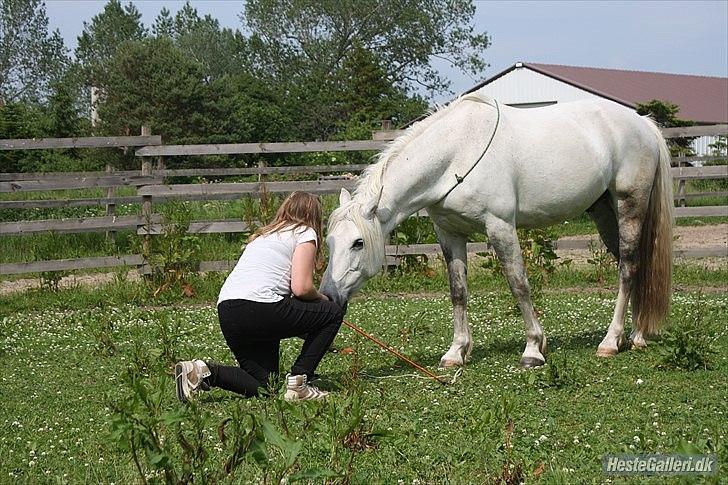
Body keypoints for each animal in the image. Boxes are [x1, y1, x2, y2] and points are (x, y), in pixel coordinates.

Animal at [322, 93, 672, 366]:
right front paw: (456, 351)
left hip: (629, 205)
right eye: (330, 242)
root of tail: (644, 124)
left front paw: (534, 348)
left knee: (628, 268)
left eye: (357, 243)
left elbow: (519, 284)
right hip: (604, 213)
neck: (456, 152)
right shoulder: (449, 233)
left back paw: (611, 342)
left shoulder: (500, 227)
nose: (327, 294)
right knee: (634, 267)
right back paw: (637, 336)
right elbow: (458, 291)